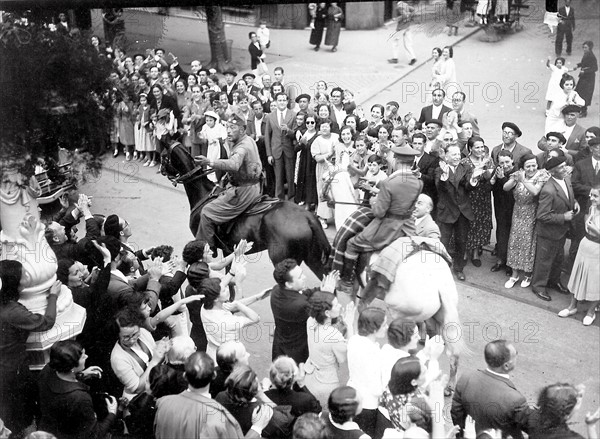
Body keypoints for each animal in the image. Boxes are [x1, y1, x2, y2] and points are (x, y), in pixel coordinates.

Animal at [162, 143, 330, 280]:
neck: (204, 193)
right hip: (312, 259)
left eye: (164, 156)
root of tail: (308, 217)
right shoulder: (228, 250)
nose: (161, 169)